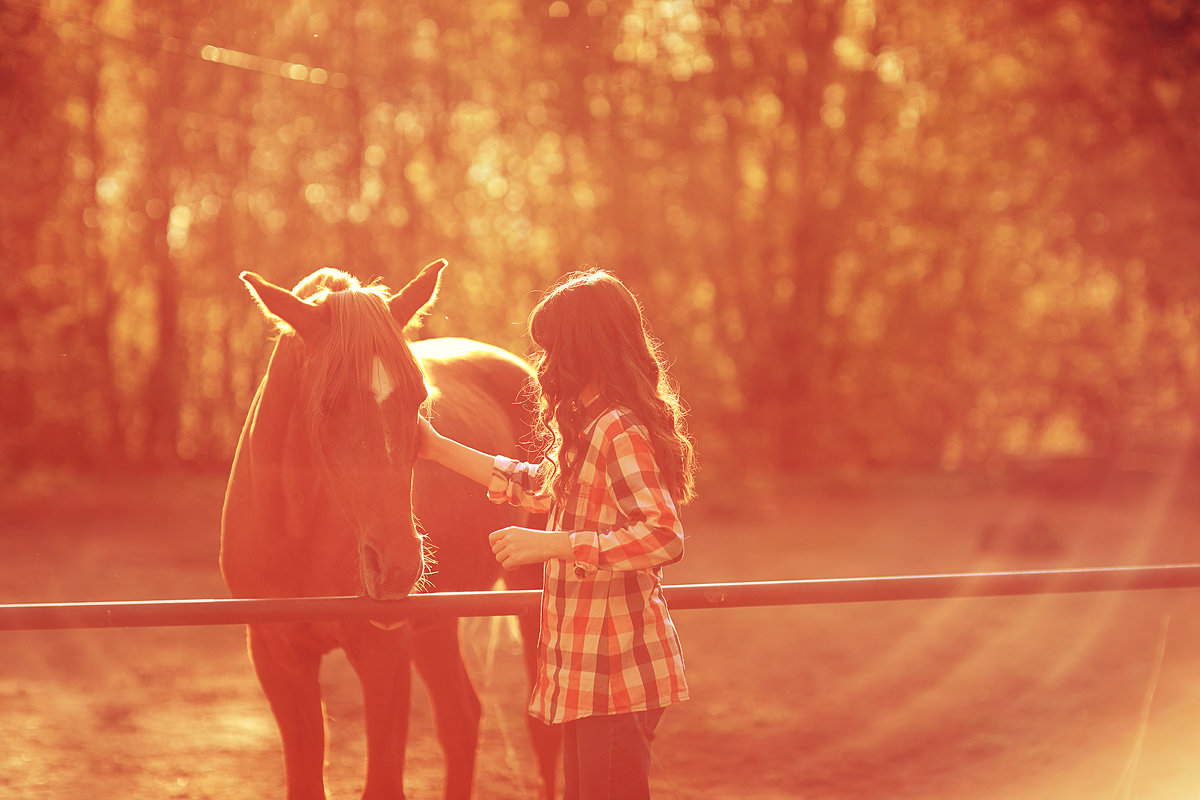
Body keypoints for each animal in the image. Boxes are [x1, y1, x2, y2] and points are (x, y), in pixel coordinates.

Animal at [223, 262, 559, 800]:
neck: (296, 529)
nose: (398, 566)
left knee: (541, 735)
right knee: (461, 718)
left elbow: (382, 781)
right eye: (326, 403)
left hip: (530, 599)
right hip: (436, 625)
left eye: (419, 398)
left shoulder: (382, 654)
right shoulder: (278, 658)